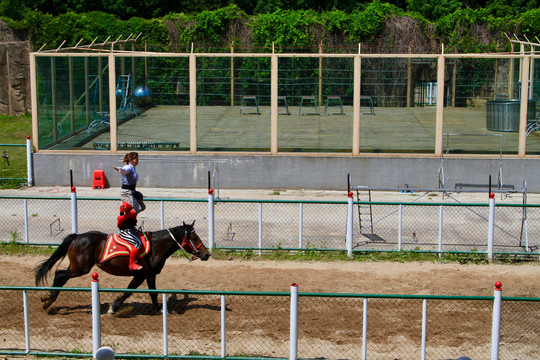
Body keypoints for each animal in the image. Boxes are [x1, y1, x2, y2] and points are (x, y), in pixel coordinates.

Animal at [32, 219, 208, 312]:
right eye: (195, 237)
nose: (206, 254)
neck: (155, 246)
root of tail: (77, 236)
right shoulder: (140, 274)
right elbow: (128, 291)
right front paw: (114, 307)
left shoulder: (149, 275)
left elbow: (153, 293)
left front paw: (157, 308)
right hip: (80, 268)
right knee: (59, 274)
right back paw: (48, 299)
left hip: (76, 267)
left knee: (61, 276)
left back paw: (48, 300)